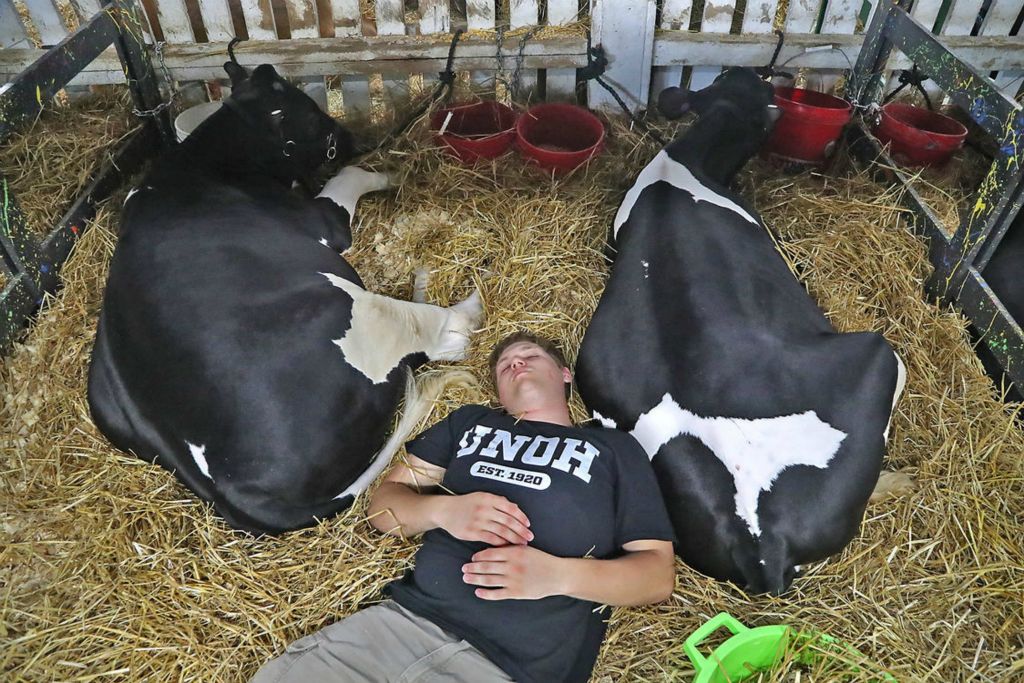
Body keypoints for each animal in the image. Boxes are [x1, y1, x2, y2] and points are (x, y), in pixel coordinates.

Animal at [87, 60, 479, 532]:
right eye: (311, 112)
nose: (350, 139)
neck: (206, 164)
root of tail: (238, 491)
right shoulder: (324, 222)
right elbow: (350, 177)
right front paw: (389, 173)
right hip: (349, 312)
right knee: (432, 335)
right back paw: (465, 311)